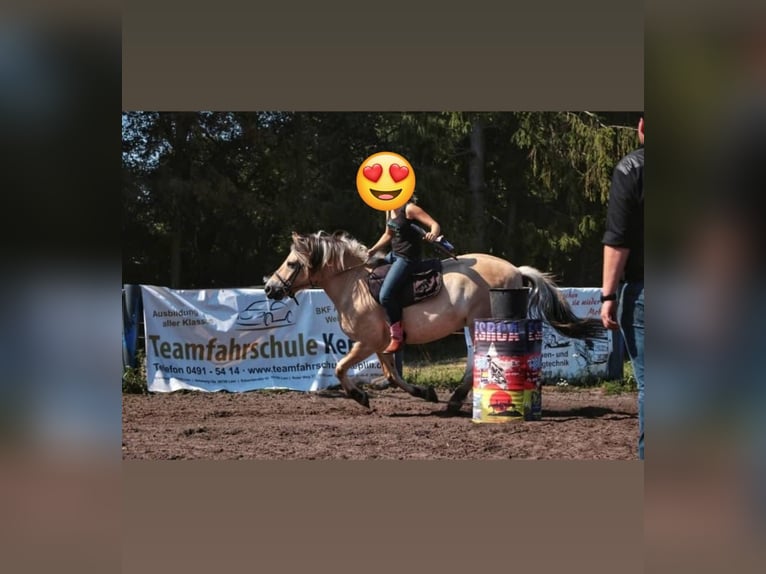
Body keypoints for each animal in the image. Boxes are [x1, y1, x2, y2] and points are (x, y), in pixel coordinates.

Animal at [263, 230, 603, 414]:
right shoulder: (382, 344)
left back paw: (461, 398)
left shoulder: (367, 342)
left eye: (291, 263)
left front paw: (360, 396)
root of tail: (516, 270)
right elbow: (392, 375)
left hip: (480, 321)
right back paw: (455, 399)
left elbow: (340, 368)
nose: (270, 288)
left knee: (480, 360)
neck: (354, 284)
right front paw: (423, 392)